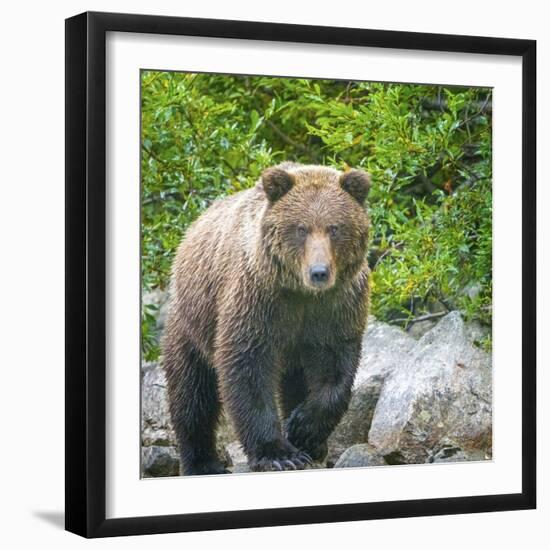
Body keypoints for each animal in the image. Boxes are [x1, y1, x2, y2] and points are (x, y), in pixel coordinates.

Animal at [162, 163, 374, 474]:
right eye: (301, 228)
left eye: (334, 228)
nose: (319, 272)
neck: (302, 294)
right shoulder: (258, 299)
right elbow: (247, 366)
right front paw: (278, 453)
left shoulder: (336, 307)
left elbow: (336, 369)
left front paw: (303, 430)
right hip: (191, 321)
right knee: (192, 391)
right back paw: (202, 462)